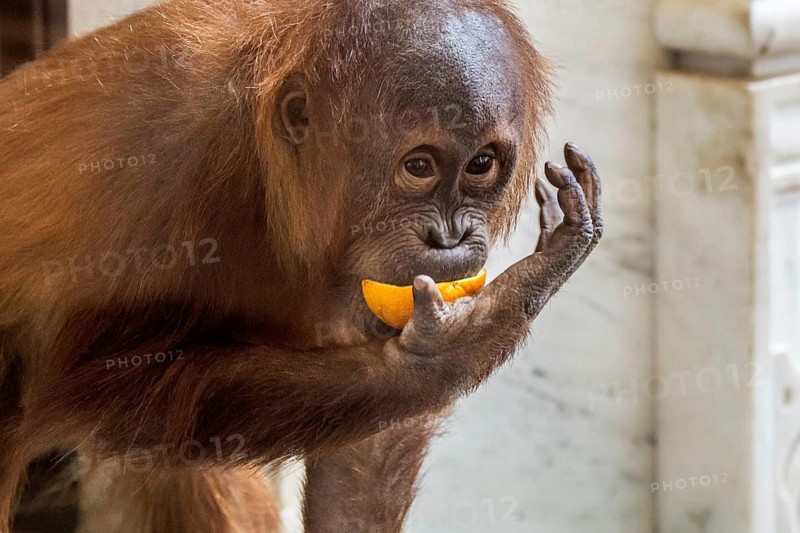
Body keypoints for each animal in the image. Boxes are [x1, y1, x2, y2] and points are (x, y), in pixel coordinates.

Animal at [0, 0, 603, 531]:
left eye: (480, 164)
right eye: (419, 166)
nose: (449, 237)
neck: (262, 154)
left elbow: (369, 440)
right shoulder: (155, 165)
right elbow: (97, 381)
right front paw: (457, 347)